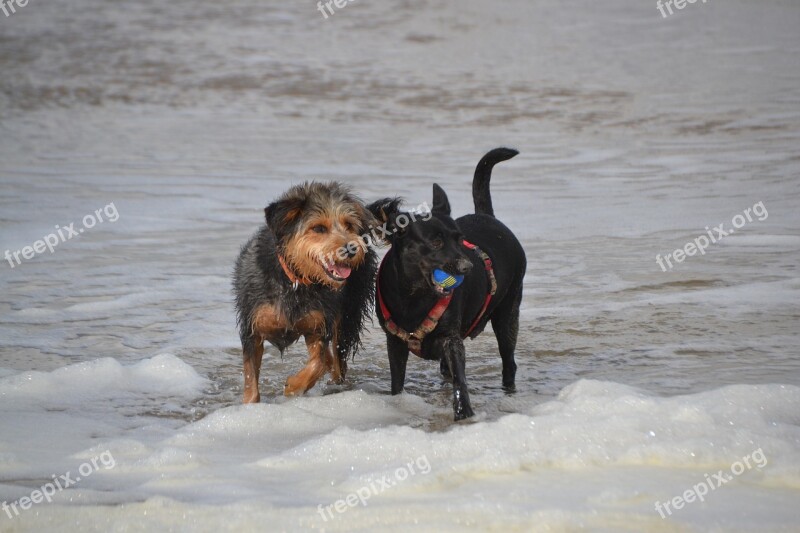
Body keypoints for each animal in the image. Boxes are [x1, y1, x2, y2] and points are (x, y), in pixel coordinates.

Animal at [234, 183, 378, 404]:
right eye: (318, 228)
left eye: (348, 225)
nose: (352, 248)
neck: (295, 280)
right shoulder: (252, 328)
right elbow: (251, 378)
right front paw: (249, 405)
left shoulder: (319, 326)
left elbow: (318, 363)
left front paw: (294, 386)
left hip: (347, 317)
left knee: (337, 363)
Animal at [368, 148, 524, 418]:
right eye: (436, 242)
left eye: (460, 239)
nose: (467, 268)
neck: (414, 297)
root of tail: (487, 216)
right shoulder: (394, 342)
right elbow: (397, 382)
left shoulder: (452, 339)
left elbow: (461, 378)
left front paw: (464, 412)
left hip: (509, 311)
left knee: (509, 362)